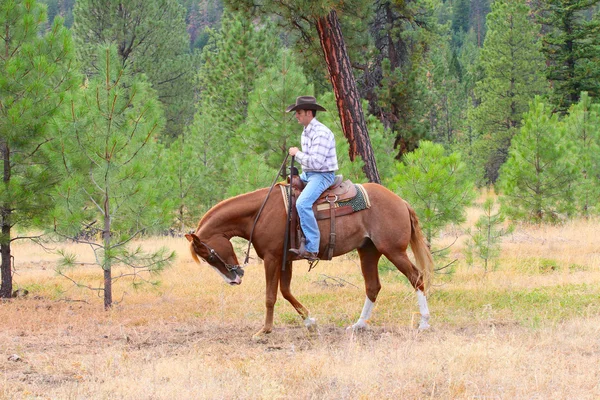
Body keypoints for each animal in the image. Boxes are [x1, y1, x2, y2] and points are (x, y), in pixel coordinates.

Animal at [185, 183, 434, 340]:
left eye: (209, 255)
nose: (233, 280)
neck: (260, 212)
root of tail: (400, 201)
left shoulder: (272, 258)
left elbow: (271, 296)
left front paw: (264, 331)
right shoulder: (285, 260)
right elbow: (286, 292)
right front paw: (310, 323)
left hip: (393, 251)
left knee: (416, 278)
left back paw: (424, 323)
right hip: (368, 251)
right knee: (373, 286)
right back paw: (359, 325)